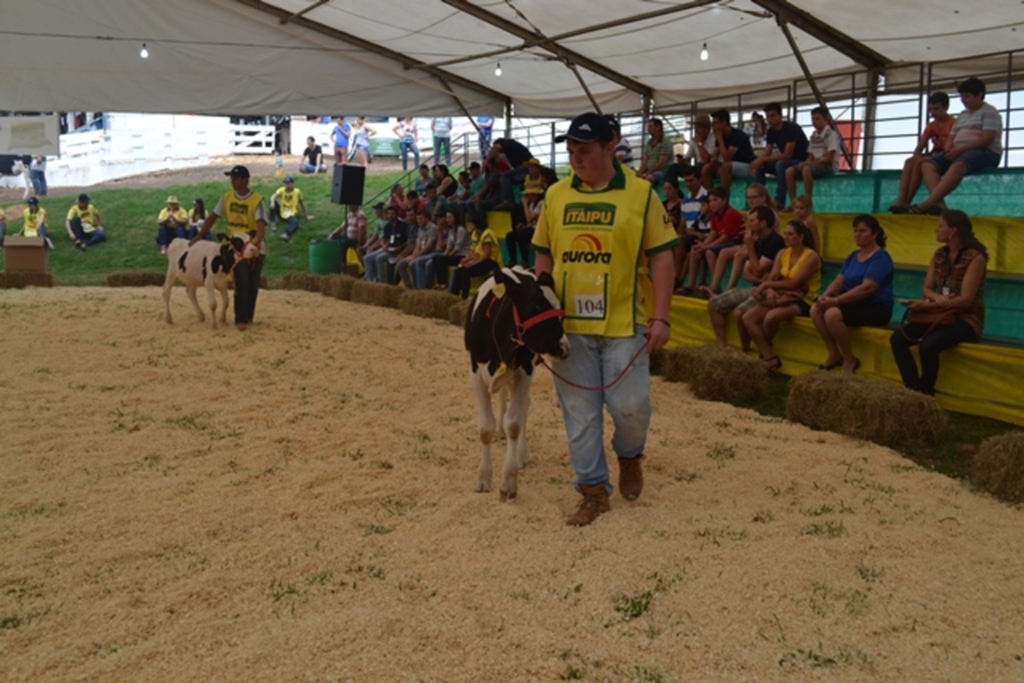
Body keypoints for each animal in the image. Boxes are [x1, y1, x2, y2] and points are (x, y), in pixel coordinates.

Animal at [464, 264, 569, 499]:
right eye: (536, 305)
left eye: (559, 308)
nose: (564, 347)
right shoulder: (476, 374)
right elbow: (485, 428)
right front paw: (483, 478)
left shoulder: (524, 371)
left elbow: (514, 423)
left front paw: (508, 483)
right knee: (504, 396)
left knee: (523, 408)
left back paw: (522, 453)